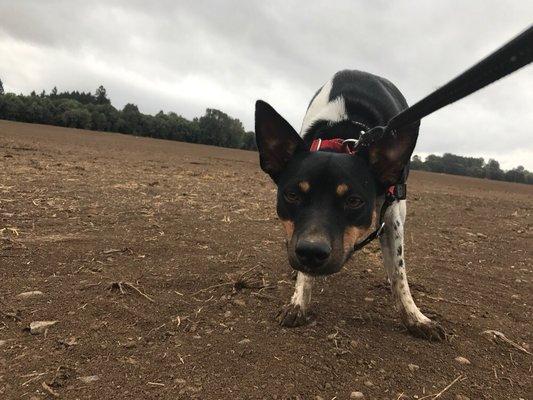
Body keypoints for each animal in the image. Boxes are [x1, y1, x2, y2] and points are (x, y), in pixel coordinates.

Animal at [254, 69, 444, 340]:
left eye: (354, 201)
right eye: (292, 195)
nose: (311, 252)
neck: (343, 137)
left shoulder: (391, 216)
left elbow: (399, 273)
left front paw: (415, 317)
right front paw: (299, 300)